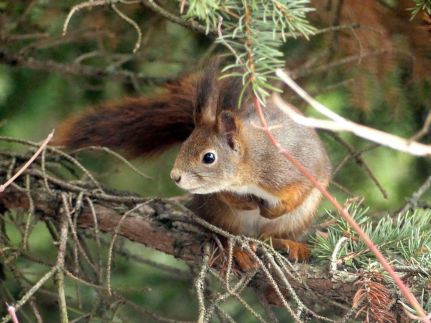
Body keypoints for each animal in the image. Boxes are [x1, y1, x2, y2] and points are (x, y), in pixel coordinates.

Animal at [54, 61, 330, 264]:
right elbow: (226, 194)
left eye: (209, 157)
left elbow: (302, 189)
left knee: (271, 236)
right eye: (184, 144)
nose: (175, 176)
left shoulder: (295, 167)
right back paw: (236, 249)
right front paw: (245, 202)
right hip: (218, 215)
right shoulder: (221, 192)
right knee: (230, 236)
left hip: (297, 219)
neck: (251, 165)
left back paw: (288, 244)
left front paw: (272, 209)